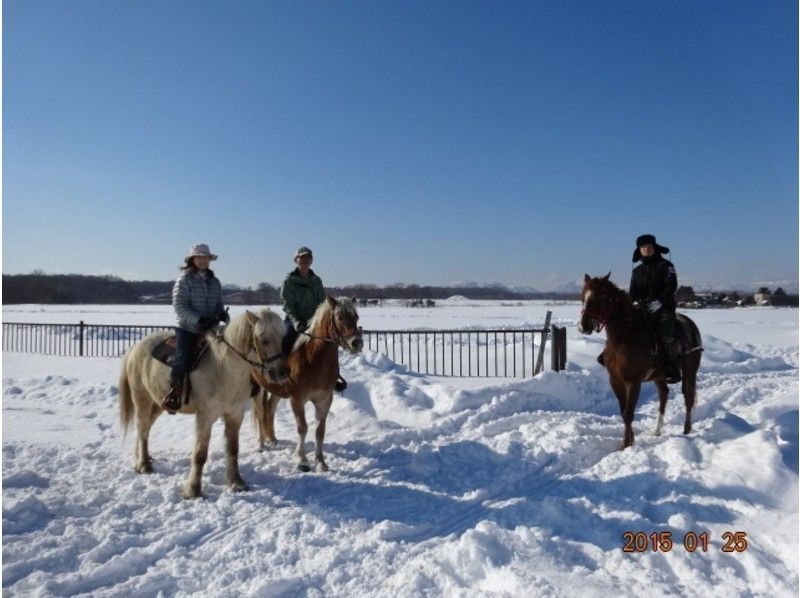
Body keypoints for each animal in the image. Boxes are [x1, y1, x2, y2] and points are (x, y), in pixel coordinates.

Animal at [120, 312, 290, 500]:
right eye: (263, 339)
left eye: (282, 338)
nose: (283, 373)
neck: (224, 369)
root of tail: (135, 348)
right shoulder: (205, 417)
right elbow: (200, 454)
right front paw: (193, 490)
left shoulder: (235, 415)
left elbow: (233, 450)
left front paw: (236, 482)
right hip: (142, 398)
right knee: (143, 428)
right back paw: (144, 465)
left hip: (159, 403)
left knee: (146, 428)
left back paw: (141, 458)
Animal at [252, 296, 364, 474]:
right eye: (340, 318)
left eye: (356, 317)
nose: (357, 343)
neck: (314, 359)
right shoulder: (297, 400)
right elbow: (302, 428)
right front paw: (302, 461)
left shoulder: (324, 400)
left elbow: (320, 431)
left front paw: (320, 462)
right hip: (258, 388)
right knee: (260, 412)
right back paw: (261, 445)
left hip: (276, 390)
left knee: (270, 409)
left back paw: (273, 438)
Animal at [580, 276, 704, 450]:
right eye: (583, 297)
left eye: (601, 296)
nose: (583, 326)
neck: (624, 339)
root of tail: (690, 324)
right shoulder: (615, 381)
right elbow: (623, 412)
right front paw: (629, 440)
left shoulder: (633, 382)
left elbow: (629, 413)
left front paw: (627, 444)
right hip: (660, 376)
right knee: (664, 395)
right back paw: (657, 430)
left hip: (690, 371)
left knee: (688, 397)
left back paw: (686, 429)